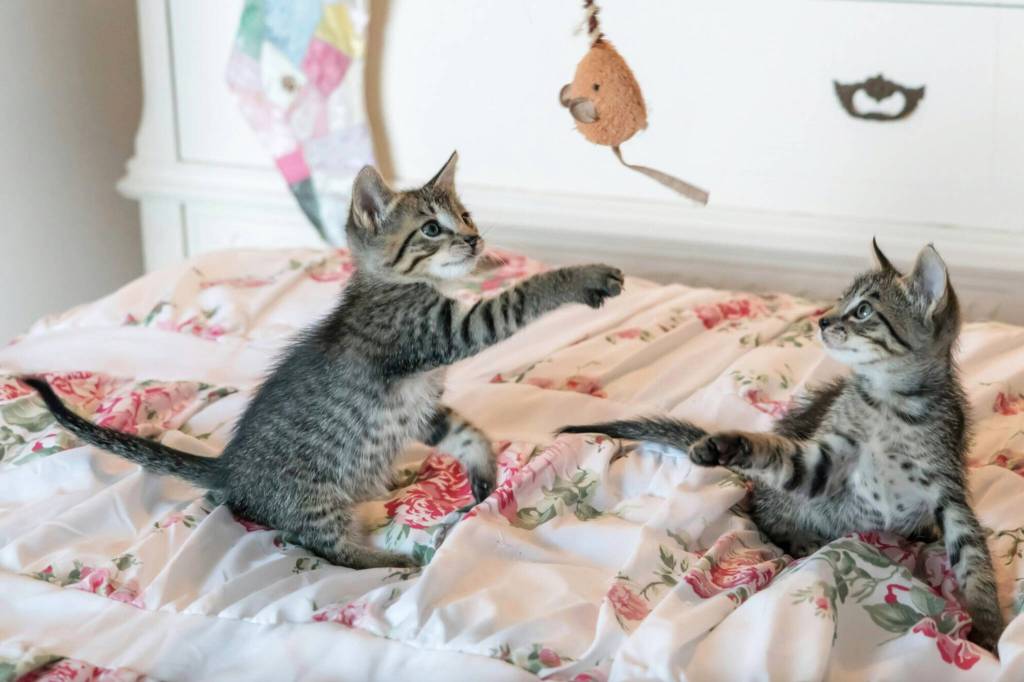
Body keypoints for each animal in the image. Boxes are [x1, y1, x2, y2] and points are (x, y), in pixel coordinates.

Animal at [25, 151, 625, 570]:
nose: (475, 240)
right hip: (314, 498)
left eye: (466, 214)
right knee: (326, 548)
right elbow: (520, 297)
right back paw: (392, 560)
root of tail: (228, 467)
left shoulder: (420, 403)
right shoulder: (438, 334)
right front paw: (583, 275)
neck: (394, 285)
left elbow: (466, 431)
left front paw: (483, 470)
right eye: (432, 228)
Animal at [560, 240, 1004, 649]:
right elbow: (776, 455)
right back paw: (800, 537)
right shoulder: (824, 463)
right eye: (841, 299)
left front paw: (989, 626)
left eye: (863, 311)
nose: (823, 320)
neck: (890, 403)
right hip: (787, 502)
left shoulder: (950, 491)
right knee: (763, 510)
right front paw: (723, 445)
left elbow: (973, 559)